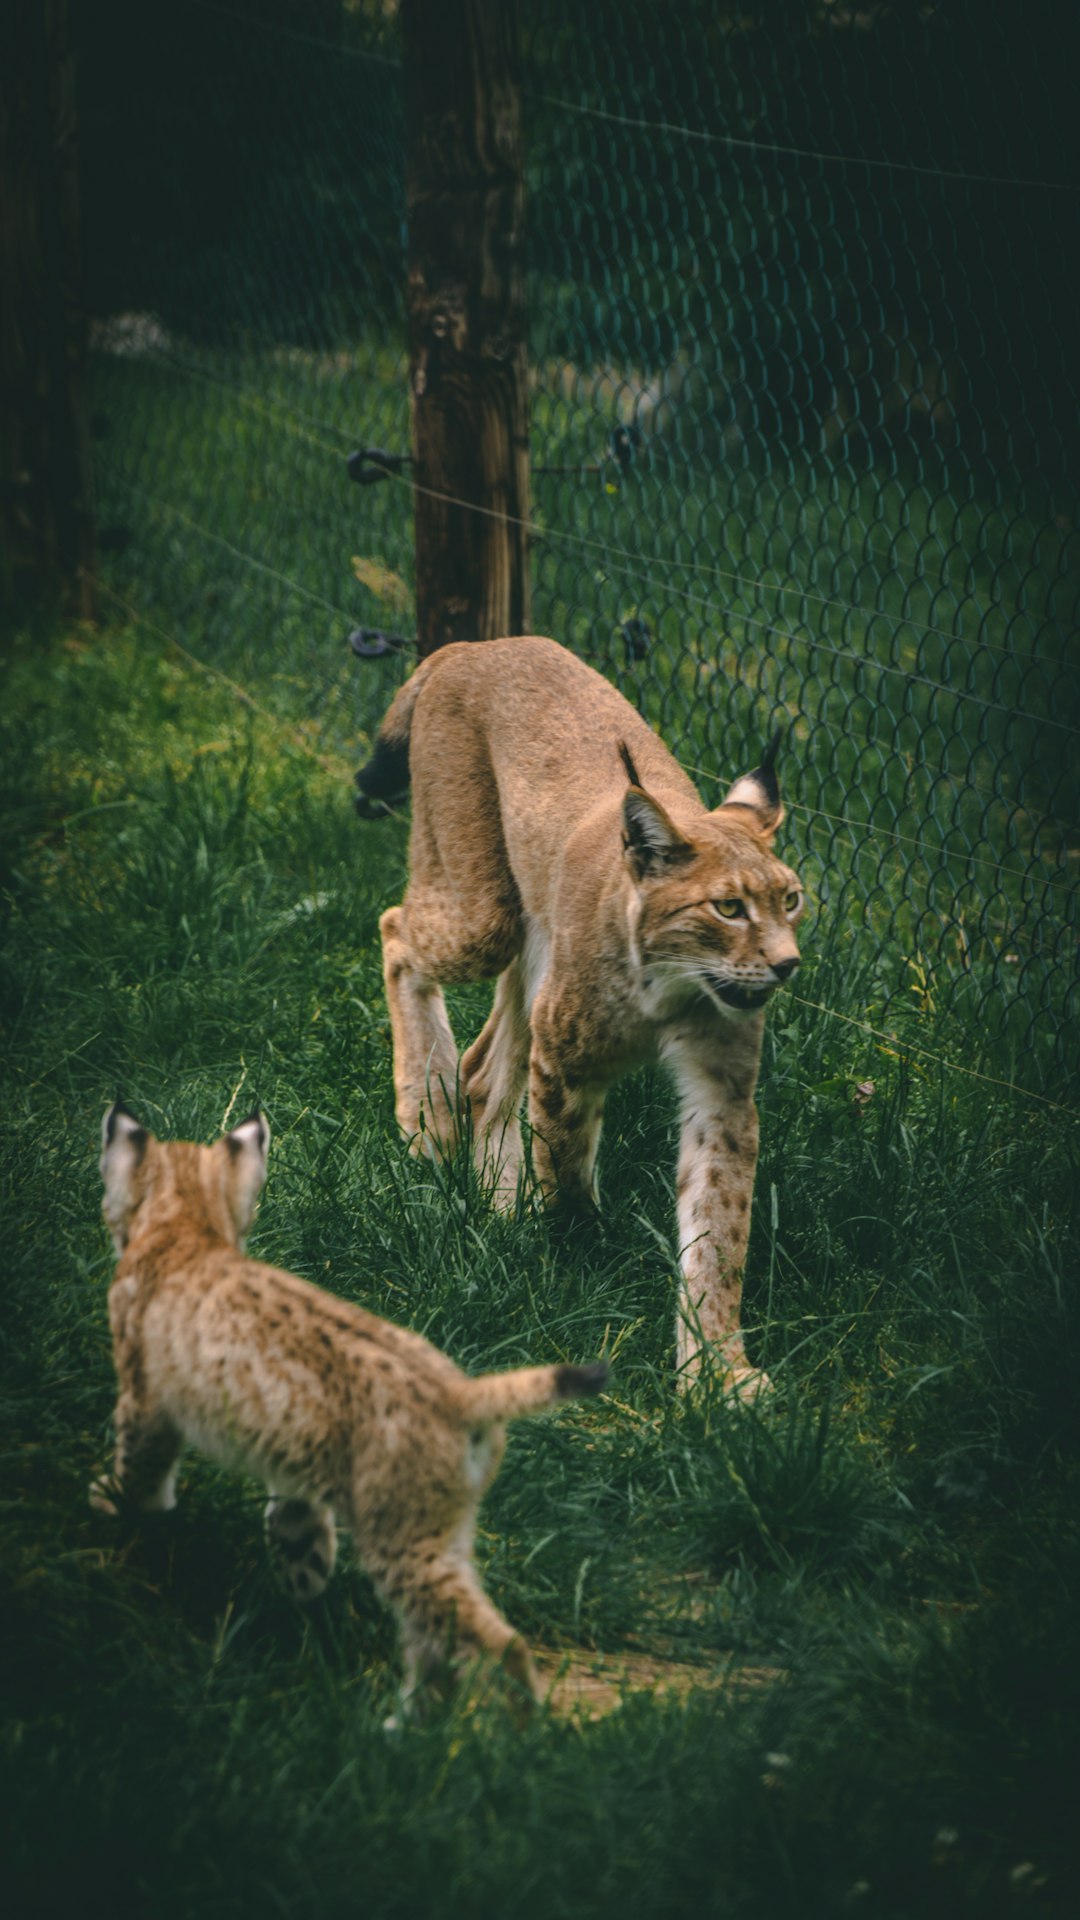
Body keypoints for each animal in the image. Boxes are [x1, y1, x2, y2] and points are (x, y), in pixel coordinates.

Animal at [92, 1105, 607, 1720]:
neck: (189, 1227)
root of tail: (459, 1391)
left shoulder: (144, 1391)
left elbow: (139, 1462)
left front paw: (115, 1506)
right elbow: (296, 1510)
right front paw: (302, 1568)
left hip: (400, 1531)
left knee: (493, 1640)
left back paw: (499, 1735)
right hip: (443, 1523)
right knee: (436, 1636)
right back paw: (409, 1725)